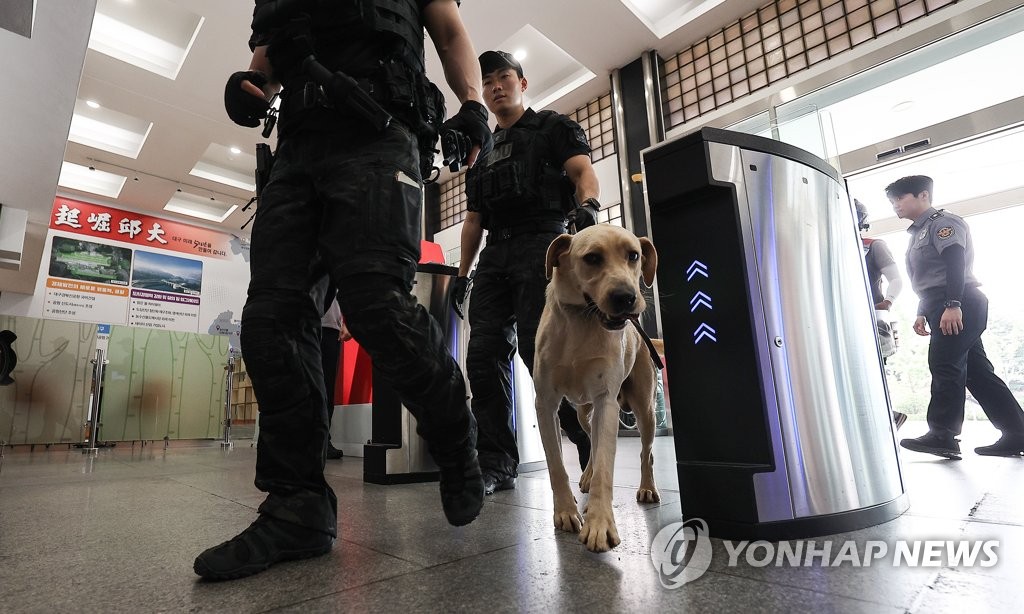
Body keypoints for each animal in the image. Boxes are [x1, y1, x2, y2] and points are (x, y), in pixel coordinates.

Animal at [532, 224, 659, 552]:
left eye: (634, 255)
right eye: (591, 258)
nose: (626, 297)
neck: (581, 323)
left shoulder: (606, 402)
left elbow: (605, 466)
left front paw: (600, 523)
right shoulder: (546, 403)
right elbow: (556, 465)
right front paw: (566, 511)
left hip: (644, 411)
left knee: (645, 452)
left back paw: (646, 488)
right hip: (581, 413)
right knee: (589, 439)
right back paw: (586, 479)